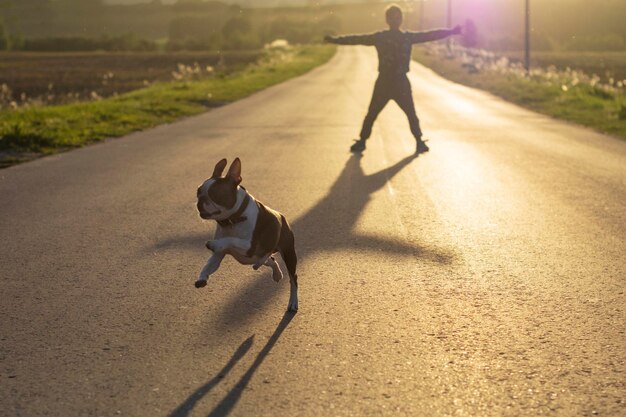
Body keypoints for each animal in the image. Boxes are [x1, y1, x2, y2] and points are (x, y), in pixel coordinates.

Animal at [194, 158, 298, 310]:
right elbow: (208, 265)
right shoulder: (219, 255)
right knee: (270, 260)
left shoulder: (250, 246)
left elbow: (231, 239)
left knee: (293, 278)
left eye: (215, 194)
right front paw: (202, 277)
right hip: (256, 258)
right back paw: (277, 274)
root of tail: (281, 216)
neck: (232, 220)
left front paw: (213, 243)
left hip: (288, 254)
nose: (200, 201)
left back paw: (293, 302)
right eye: (198, 191)